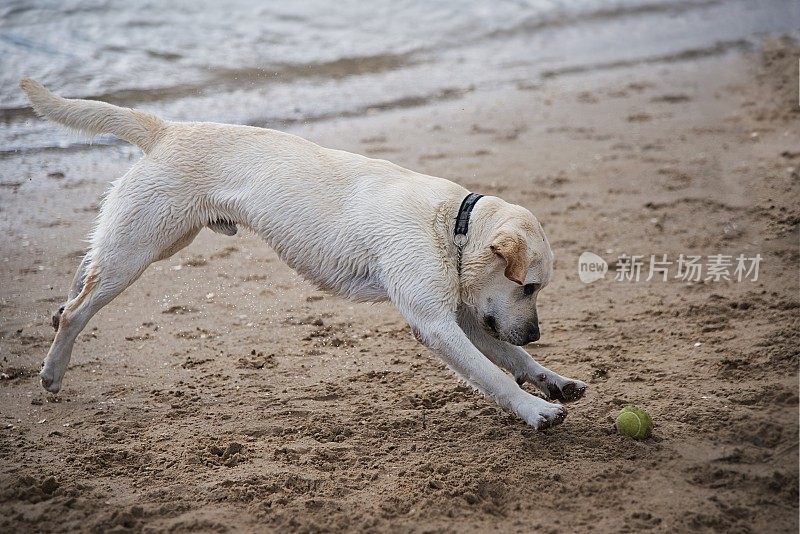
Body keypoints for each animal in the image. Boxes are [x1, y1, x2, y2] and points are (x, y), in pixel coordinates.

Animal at [17, 78, 580, 432]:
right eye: (528, 286)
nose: (537, 331)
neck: (453, 226)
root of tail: (166, 129)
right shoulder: (436, 323)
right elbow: (492, 374)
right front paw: (534, 410)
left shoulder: (465, 318)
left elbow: (513, 358)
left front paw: (553, 381)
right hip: (141, 248)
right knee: (78, 309)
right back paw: (51, 370)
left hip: (143, 241)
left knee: (83, 274)